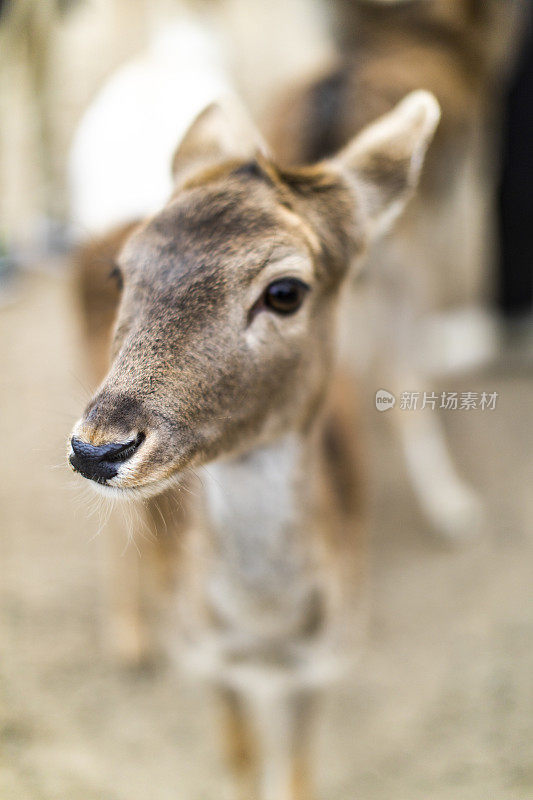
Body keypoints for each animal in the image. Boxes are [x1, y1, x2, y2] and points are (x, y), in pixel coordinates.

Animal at [68, 90, 438, 800]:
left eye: (285, 291)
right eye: (122, 272)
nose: (97, 448)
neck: (264, 638)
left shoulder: (325, 661)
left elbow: (296, 773)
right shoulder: (204, 656)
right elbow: (239, 761)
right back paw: (129, 642)